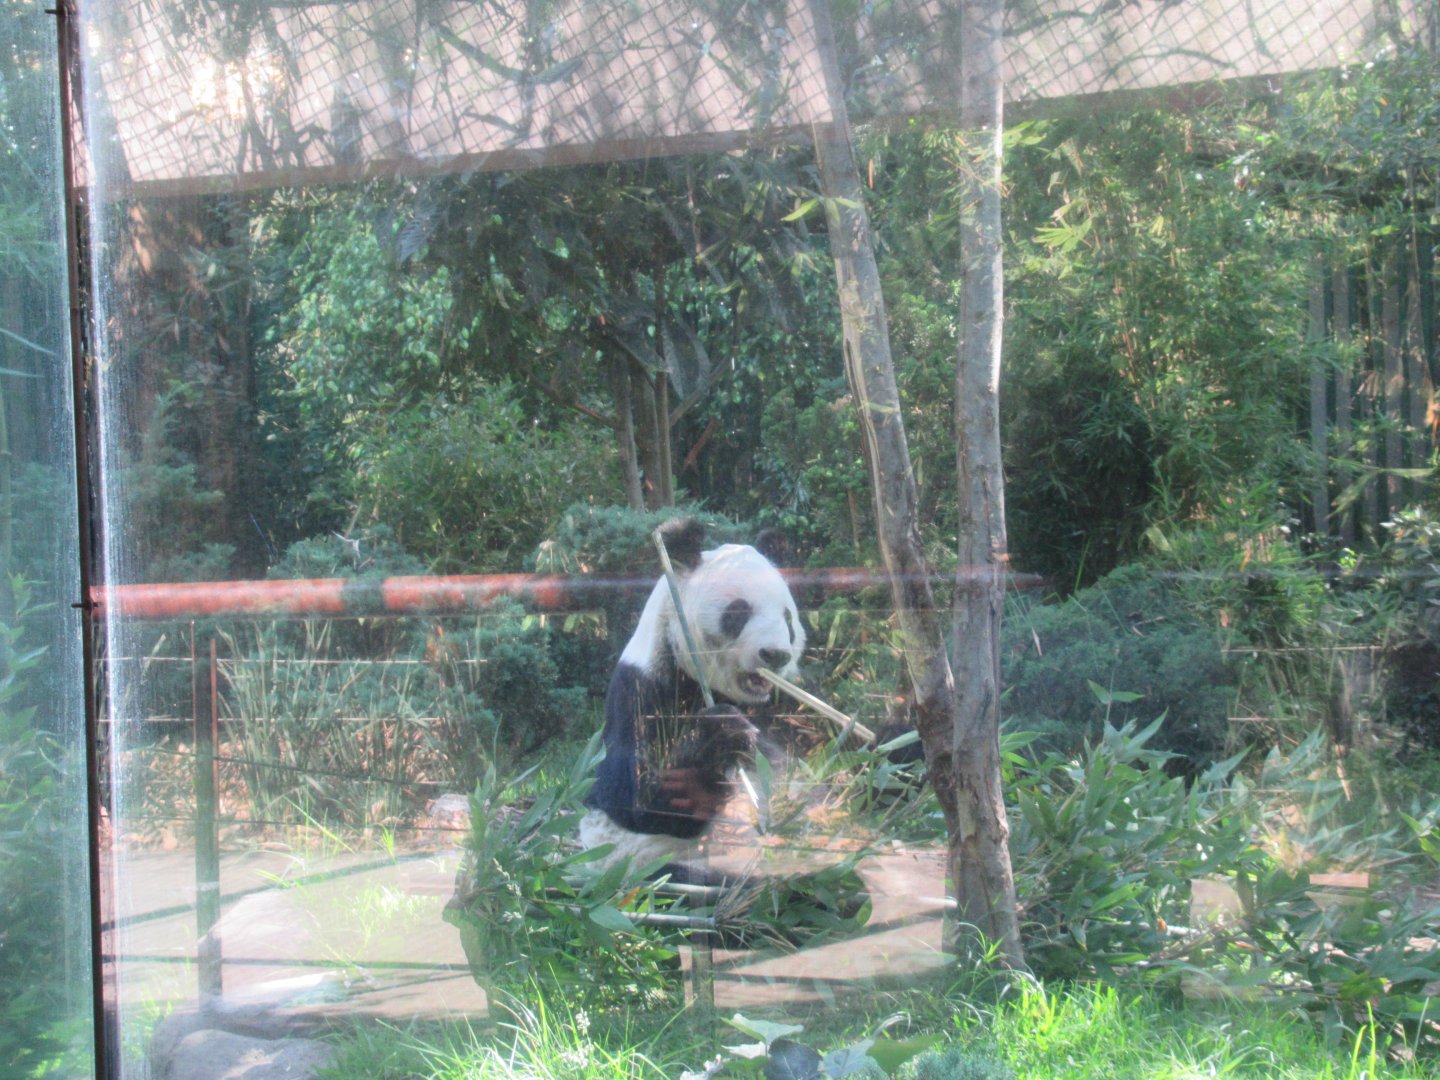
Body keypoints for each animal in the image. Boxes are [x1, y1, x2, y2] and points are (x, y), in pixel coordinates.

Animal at [579, 518, 805, 882]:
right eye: (738, 612)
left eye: (788, 619)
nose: (775, 654)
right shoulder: (642, 689)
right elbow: (630, 796)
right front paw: (721, 735)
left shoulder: (784, 705)